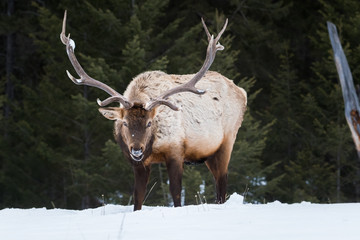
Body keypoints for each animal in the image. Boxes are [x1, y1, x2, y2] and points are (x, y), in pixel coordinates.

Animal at [60, 10, 248, 210]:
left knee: (222, 184)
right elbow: (138, 197)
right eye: (124, 123)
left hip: (227, 141)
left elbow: (176, 194)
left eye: (149, 123)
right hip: (209, 155)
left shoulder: (176, 151)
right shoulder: (137, 162)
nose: (136, 149)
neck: (151, 145)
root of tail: (242, 92)